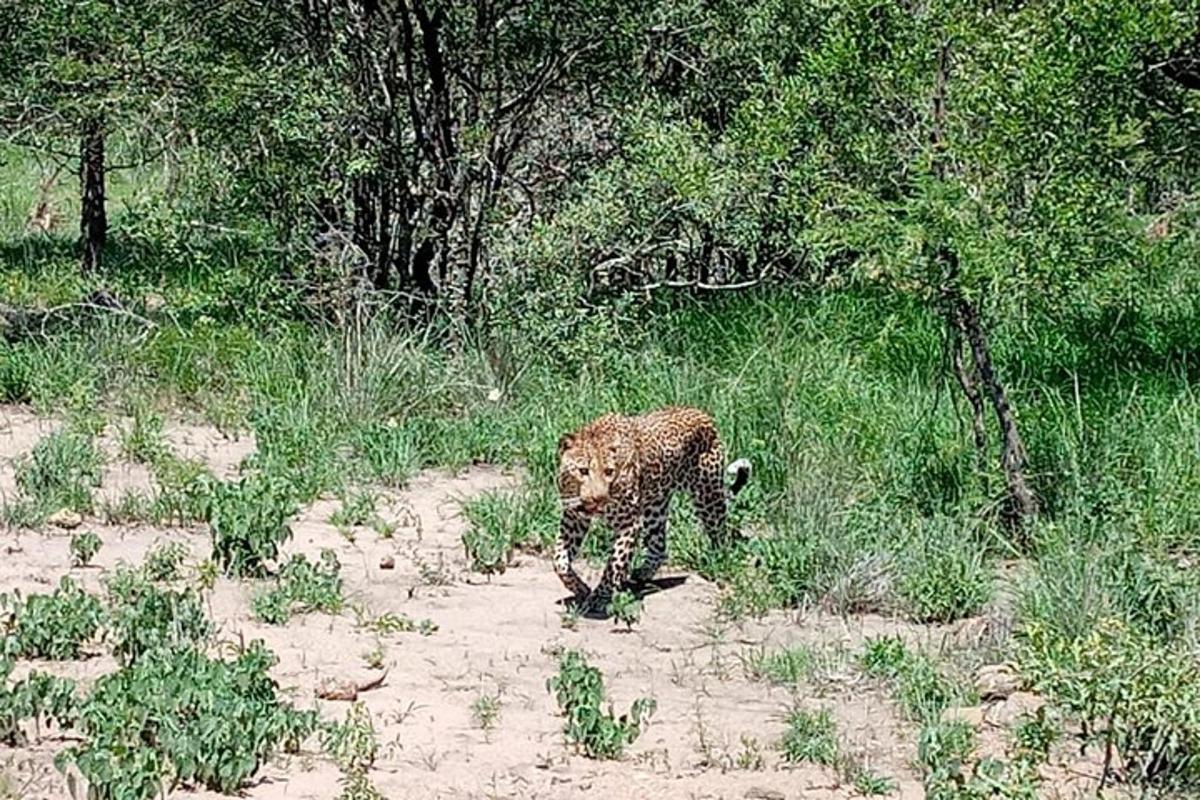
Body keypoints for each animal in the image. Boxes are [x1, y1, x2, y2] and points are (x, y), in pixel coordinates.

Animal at [552, 410, 748, 618]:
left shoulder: (628, 523)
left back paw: (717, 562)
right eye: (583, 471)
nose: (599, 499)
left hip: (707, 495)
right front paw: (580, 588)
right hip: (655, 507)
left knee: (721, 534)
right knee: (659, 546)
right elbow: (559, 560)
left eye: (609, 472)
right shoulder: (573, 517)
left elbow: (614, 563)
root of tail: (704, 415)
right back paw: (641, 574)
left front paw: (600, 597)